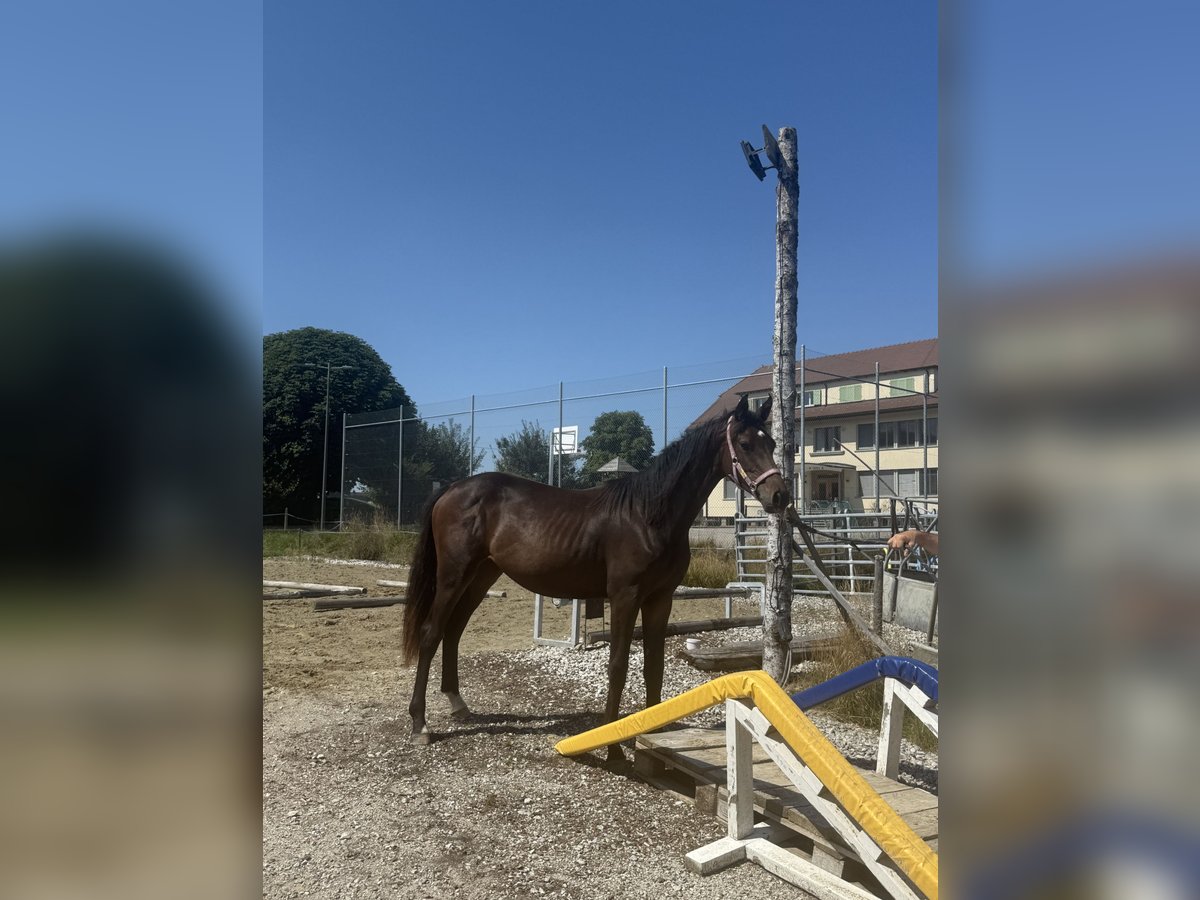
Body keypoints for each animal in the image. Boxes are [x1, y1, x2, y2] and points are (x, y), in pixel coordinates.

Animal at [401, 394, 790, 759]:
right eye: (745, 444)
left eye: (772, 443)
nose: (780, 496)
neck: (648, 516)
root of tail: (453, 489)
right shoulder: (625, 597)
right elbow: (617, 666)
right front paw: (613, 747)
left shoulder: (660, 599)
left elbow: (654, 666)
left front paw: (652, 734)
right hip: (453, 575)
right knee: (431, 633)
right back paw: (420, 724)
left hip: (482, 575)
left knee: (453, 631)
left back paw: (458, 705)